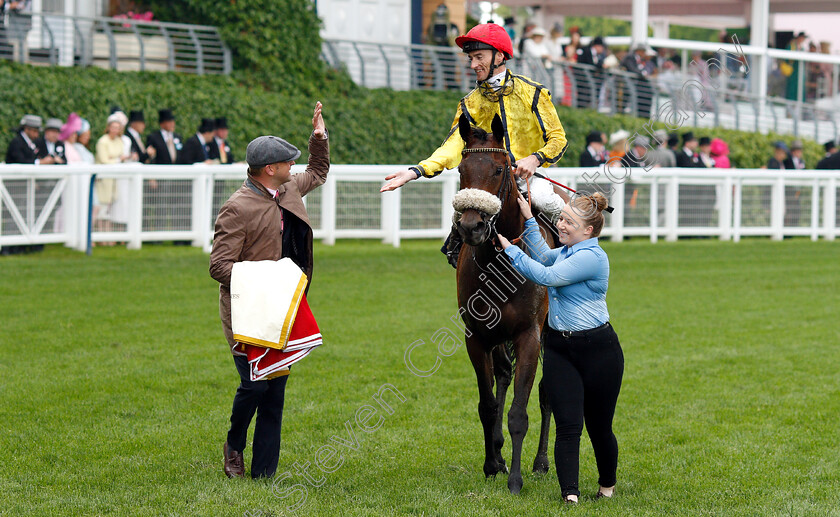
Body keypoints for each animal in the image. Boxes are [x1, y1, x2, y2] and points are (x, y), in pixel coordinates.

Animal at [456, 112, 556, 492]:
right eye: (461, 169)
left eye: (500, 169)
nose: (471, 226)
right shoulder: (476, 336)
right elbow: (487, 405)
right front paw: (491, 463)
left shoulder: (529, 334)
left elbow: (519, 411)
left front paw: (515, 479)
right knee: (503, 375)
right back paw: (498, 455)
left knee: (546, 392)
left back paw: (541, 462)